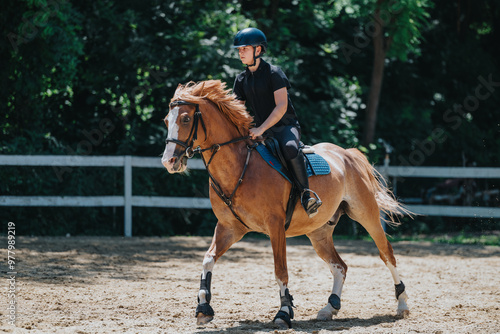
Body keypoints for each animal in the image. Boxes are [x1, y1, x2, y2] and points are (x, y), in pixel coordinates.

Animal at [162, 81, 408, 328]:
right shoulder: (229, 228)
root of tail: (348, 154)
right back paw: (330, 308)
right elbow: (208, 259)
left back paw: (402, 304)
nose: (168, 162)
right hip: (319, 233)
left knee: (387, 254)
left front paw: (283, 312)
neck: (240, 166)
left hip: (367, 215)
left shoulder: (275, 226)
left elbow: (280, 270)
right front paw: (203, 307)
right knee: (340, 266)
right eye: (166, 120)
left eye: (185, 119)